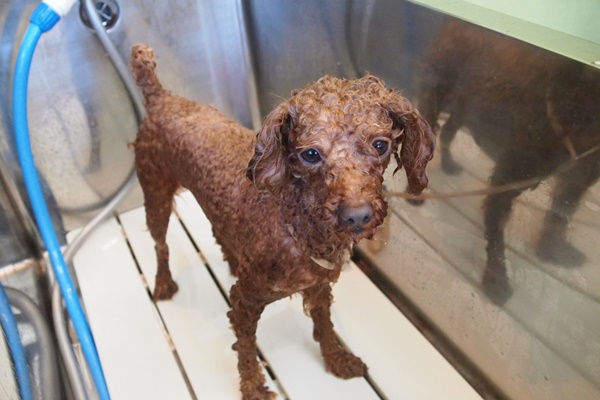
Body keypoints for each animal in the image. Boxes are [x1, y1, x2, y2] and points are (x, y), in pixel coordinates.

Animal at [130, 44, 434, 399]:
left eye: (380, 145)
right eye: (310, 154)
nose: (357, 215)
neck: (295, 222)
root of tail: (161, 96)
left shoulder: (319, 287)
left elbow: (325, 326)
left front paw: (336, 359)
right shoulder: (244, 302)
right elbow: (246, 349)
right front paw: (253, 386)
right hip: (155, 194)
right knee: (160, 243)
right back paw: (163, 283)